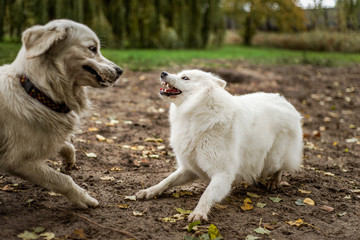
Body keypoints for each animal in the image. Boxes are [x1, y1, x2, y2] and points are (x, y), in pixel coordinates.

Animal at [0, 19, 122, 208]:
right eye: (92, 48)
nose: (120, 71)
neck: (38, 92)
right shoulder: (16, 161)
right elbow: (61, 179)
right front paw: (84, 198)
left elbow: (67, 145)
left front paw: (69, 161)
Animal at [136, 69, 302, 221]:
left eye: (185, 78)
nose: (163, 73)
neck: (197, 110)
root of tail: (284, 100)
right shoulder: (189, 168)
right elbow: (166, 181)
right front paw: (149, 191)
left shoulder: (222, 174)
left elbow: (206, 195)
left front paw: (199, 213)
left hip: (274, 158)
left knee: (279, 167)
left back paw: (274, 181)